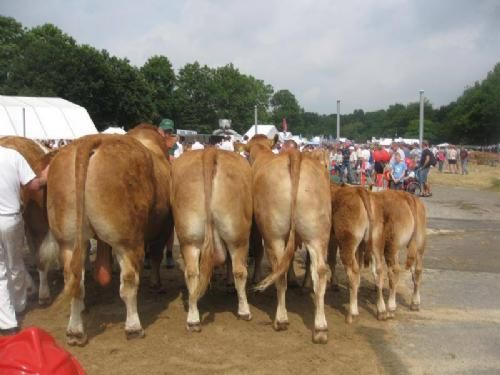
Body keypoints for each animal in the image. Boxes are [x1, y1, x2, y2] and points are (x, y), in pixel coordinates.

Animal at [47, 125, 172, 346]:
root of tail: (90, 140)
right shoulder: (164, 228)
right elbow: (156, 256)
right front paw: (156, 283)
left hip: (68, 241)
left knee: (74, 282)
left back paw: (75, 331)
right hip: (127, 241)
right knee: (129, 282)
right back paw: (133, 326)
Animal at [171, 148, 252, 330]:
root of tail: (210, 151)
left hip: (189, 237)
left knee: (192, 273)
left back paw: (193, 318)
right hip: (238, 237)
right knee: (239, 271)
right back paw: (244, 310)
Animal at [247, 135, 332, 344]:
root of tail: (294, 155)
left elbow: (260, 251)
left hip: (273, 235)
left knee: (279, 271)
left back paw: (281, 319)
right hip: (317, 235)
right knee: (320, 272)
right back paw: (320, 329)